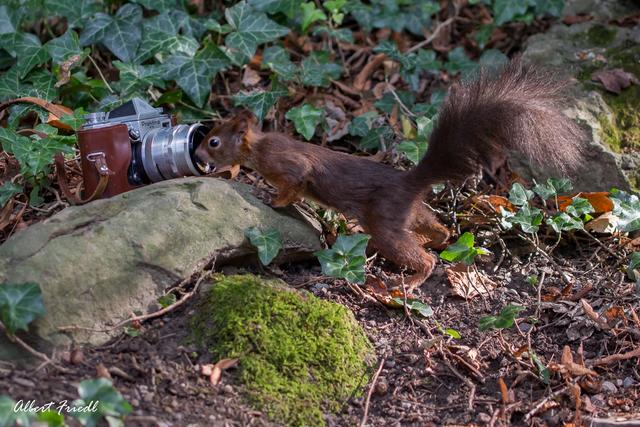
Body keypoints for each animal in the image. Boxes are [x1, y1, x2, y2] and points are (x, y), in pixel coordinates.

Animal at [195, 60, 584, 292]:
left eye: (214, 141)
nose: (198, 156)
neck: (258, 148)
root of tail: (409, 183)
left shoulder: (287, 164)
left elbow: (294, 184)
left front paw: (270, 198)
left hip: (383, 220)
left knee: (420, 256)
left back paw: (413, 279)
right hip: (410, 214)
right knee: (439, 231)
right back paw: (439, 240)